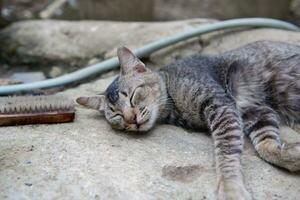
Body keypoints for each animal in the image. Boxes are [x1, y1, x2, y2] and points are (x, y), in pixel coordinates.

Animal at [76, 41, 300, 200]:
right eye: (116, 115)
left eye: (132, 96)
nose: (132, 119)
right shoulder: (254, 111)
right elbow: (265, 144)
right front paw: (290, 155)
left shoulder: (221, 105)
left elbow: (226, 152)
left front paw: (230, 188)